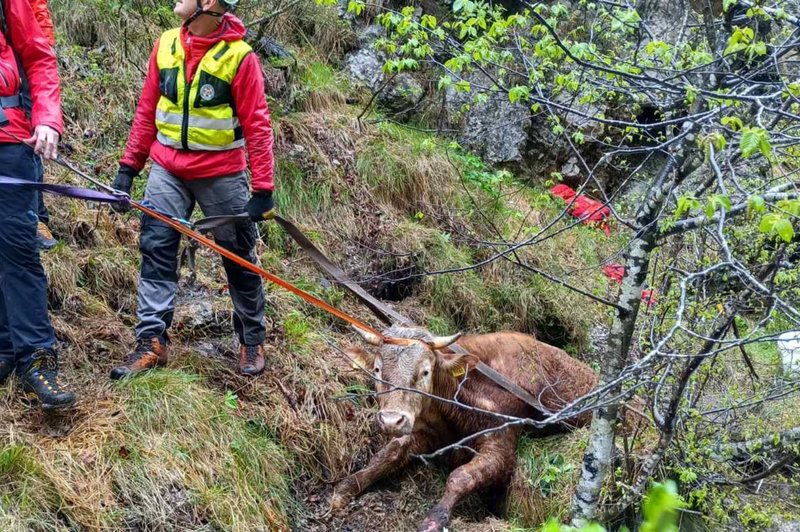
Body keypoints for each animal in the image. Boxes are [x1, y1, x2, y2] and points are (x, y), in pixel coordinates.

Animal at [330, 324, 600, 532]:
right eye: (377, 369)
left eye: (425, 372)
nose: (391, 420)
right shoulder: (426, 436)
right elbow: (388, 454)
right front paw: (346, 488)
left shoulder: (501, 445)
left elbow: (460, 477)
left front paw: (434, 519)